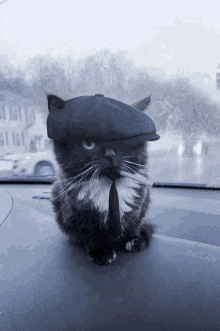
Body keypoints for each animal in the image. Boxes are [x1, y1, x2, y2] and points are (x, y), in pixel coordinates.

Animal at [48, 94, 156, 266]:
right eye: (89, 143)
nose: (110, 154)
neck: (110, 183)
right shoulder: (78, 211)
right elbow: (91, 233)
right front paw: (100, 252)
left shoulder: (139, 203)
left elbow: (133, 223)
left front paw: (132, 239)